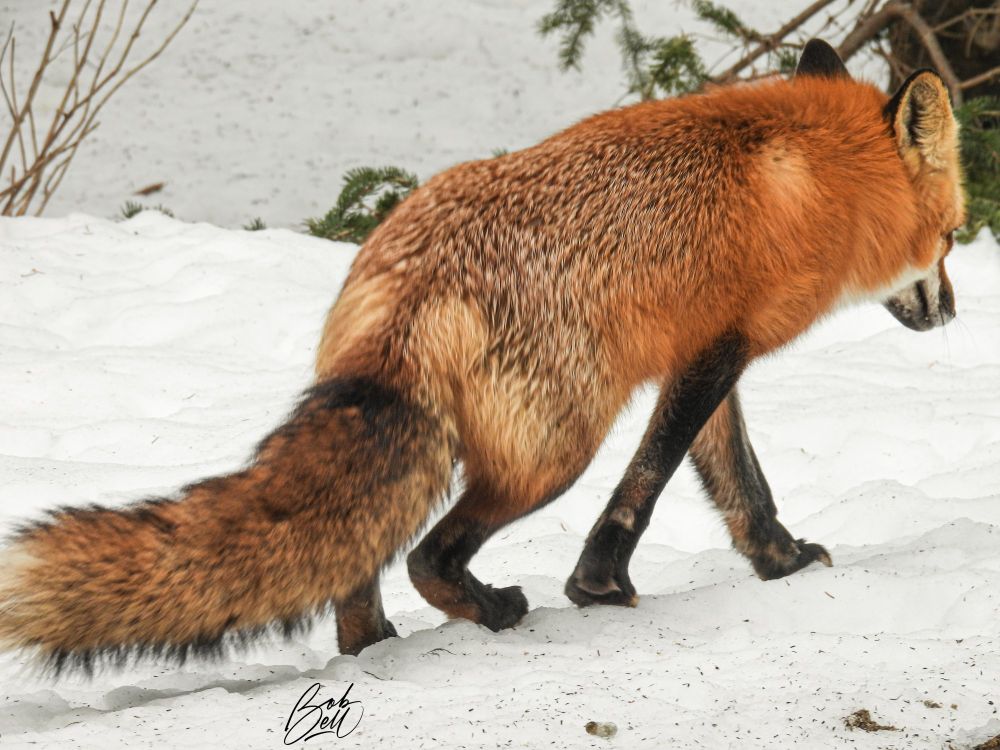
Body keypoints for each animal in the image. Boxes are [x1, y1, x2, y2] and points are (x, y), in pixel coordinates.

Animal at [0, 40, 965, 673]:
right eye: (954, 235)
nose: (954, 311)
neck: (815, 179)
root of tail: (409, 293)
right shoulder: (711, 358)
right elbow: (647, 485)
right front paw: (600, 586)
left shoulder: (706, 351)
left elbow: (739, 484)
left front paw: (779, 563)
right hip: (553, 452)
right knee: (428, 555)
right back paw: (493, 612)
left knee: (356, 565)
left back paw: (372, 656)